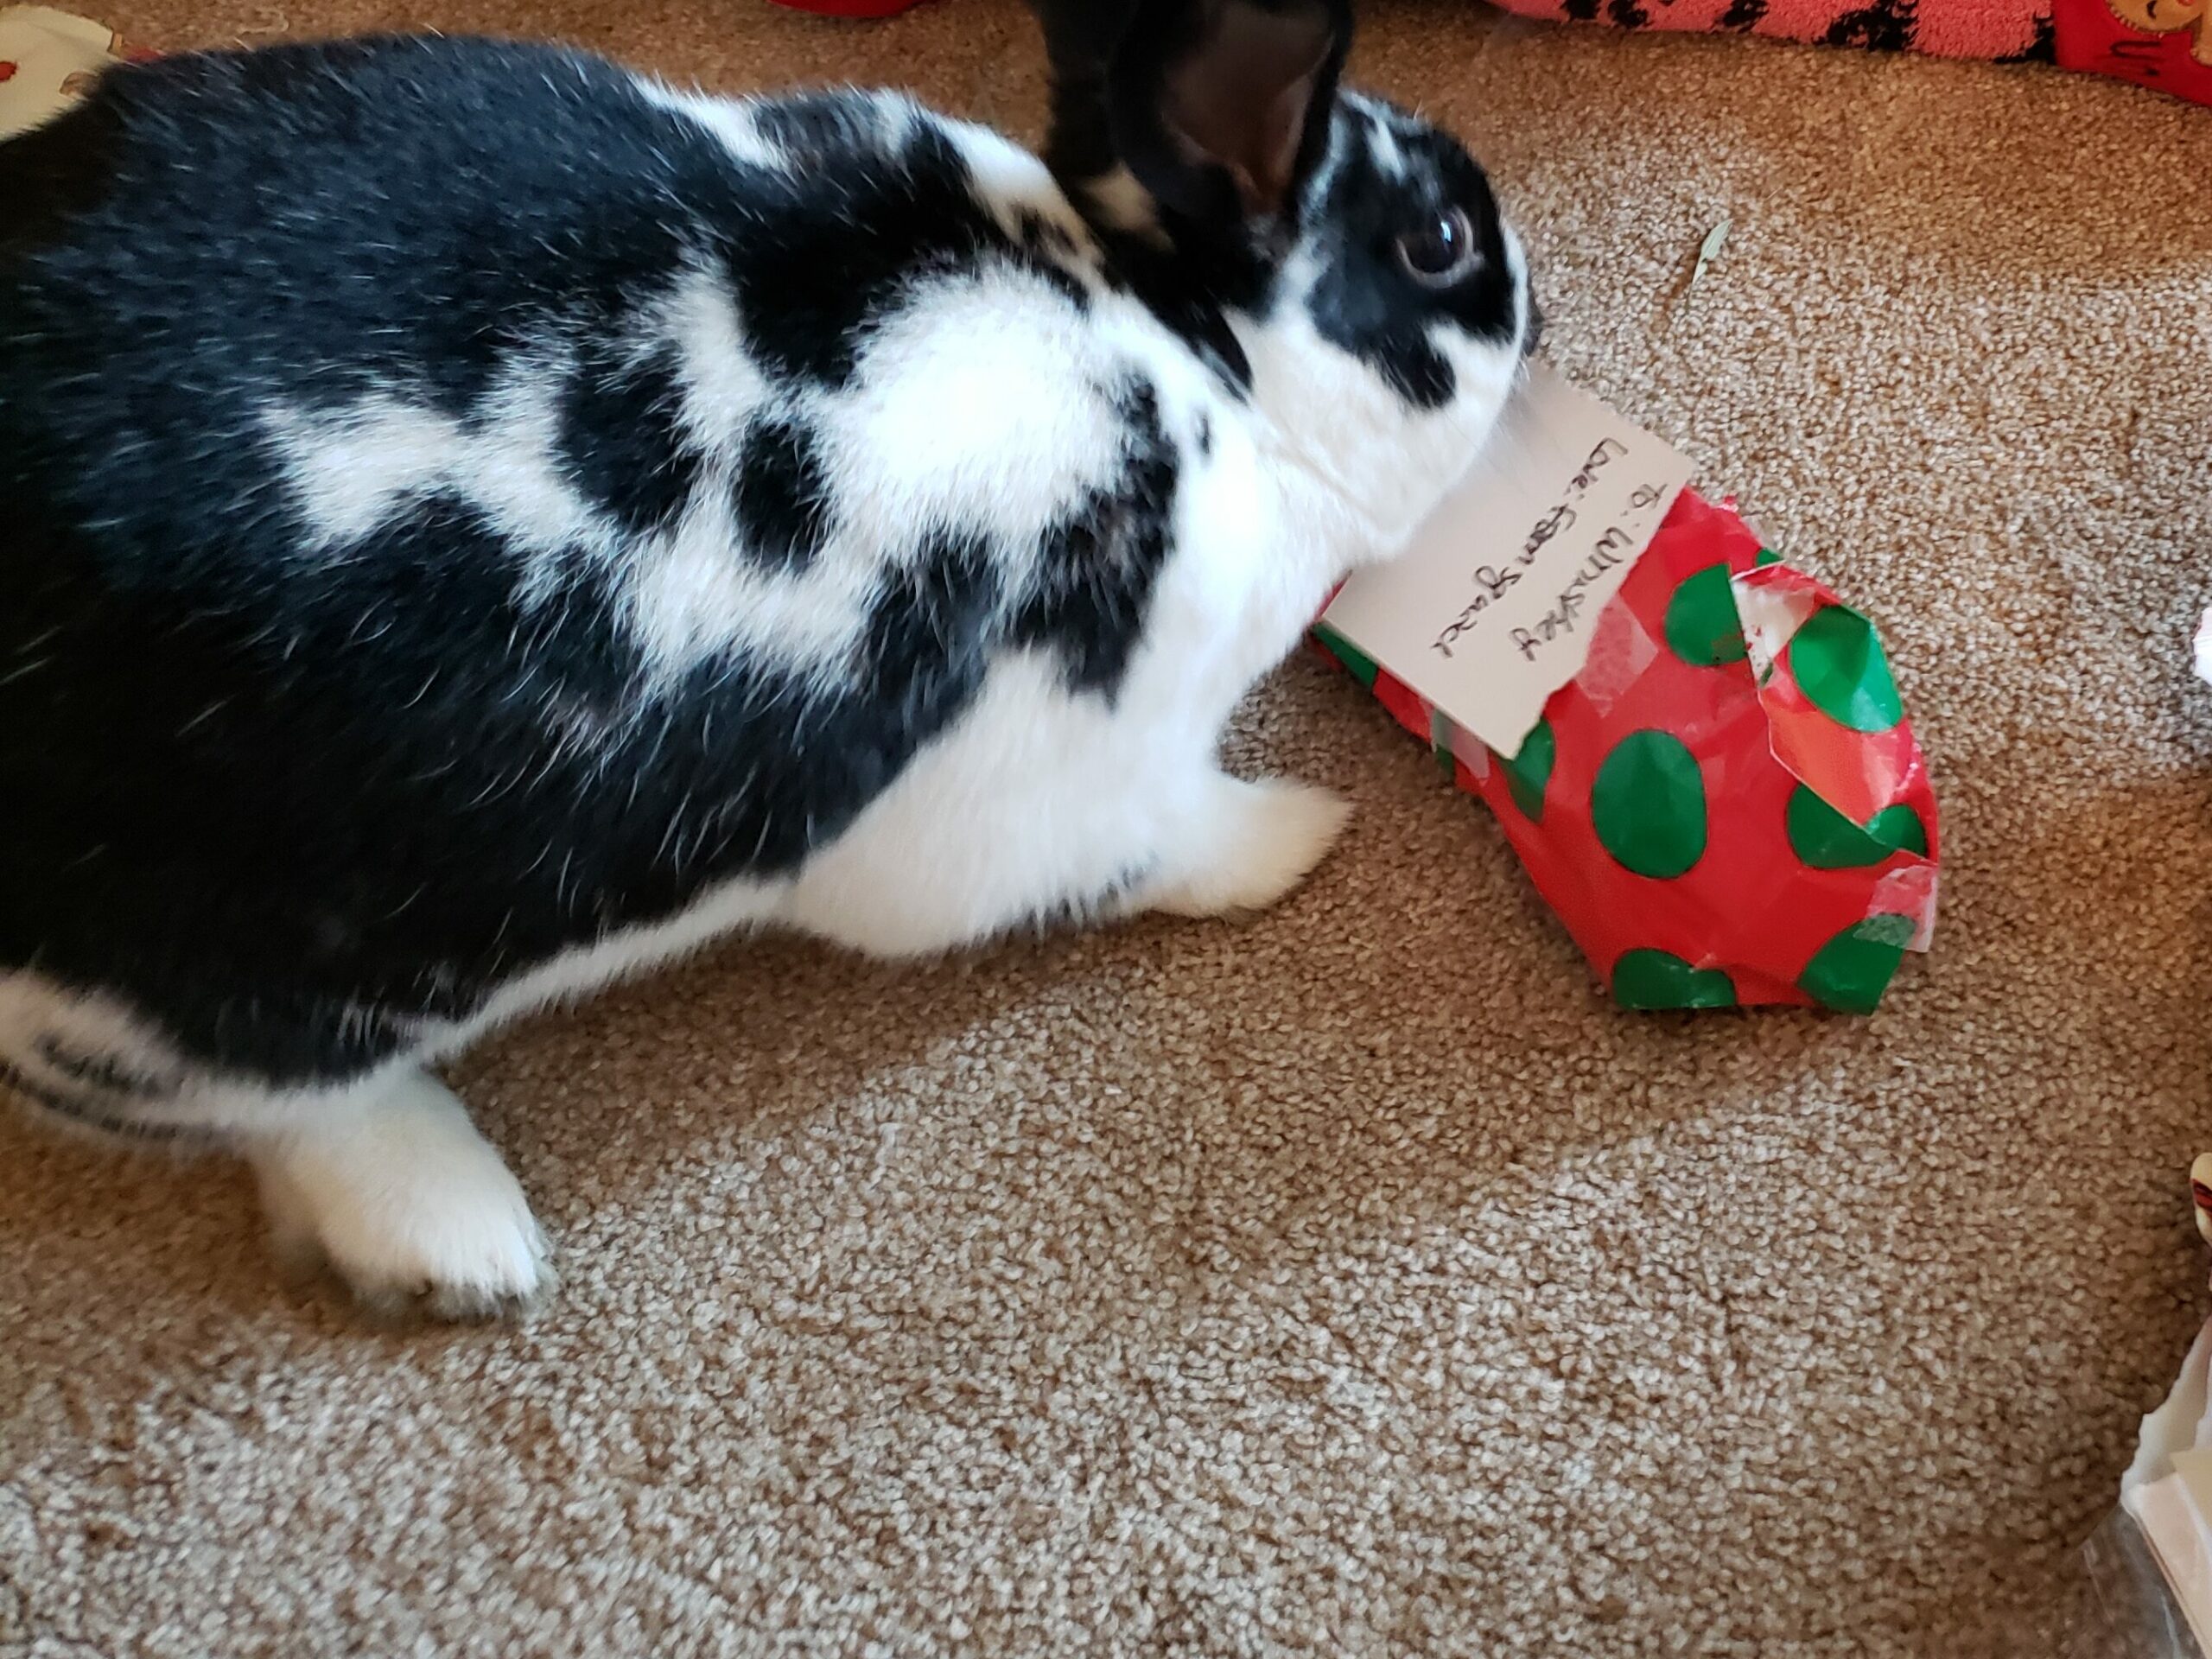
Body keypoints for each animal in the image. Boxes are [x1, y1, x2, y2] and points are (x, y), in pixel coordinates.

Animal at [0, 3, 1539, 1327]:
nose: (1537, 303)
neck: (1201, 363)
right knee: (285, 1107)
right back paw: (456, 1241)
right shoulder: (1041, 803)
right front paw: (1295, 837)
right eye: (1442, 240)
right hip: (224, 994)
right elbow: (1166, 848)